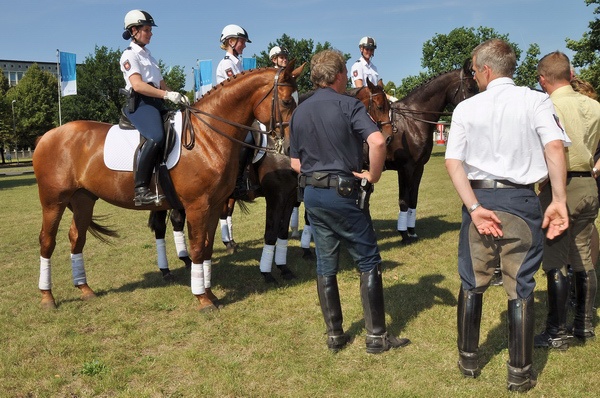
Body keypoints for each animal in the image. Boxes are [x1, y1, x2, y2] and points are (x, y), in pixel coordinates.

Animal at [31, 61, 304, 310]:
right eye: (287, 102)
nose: (293, 148)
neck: (206, 137)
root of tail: (48, 135)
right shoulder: (200, 206)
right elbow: (199, 247)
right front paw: (203, 298)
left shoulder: (215, 205)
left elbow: (207, 248)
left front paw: (209, 292)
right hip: (53, 201)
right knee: (47, 241)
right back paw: (47, 297)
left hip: (83, 199)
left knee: (77, 237)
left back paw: (84, 288)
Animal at [390, 61, 478, 243]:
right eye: (471, 88)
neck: (411, 120)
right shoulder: (405, 168)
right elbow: (404, 200)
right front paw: (404, 234)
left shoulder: (418, 167)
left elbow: (413, 199)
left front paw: (411, 231)